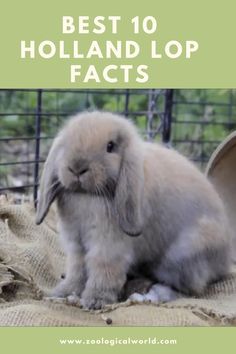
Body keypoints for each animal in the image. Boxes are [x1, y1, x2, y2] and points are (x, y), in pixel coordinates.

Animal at [36, 112, 232, 308]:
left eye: (110, 146)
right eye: (66, 143)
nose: (77, 167)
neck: (87, 196)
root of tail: (224, 261)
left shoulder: (109, 248)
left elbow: (103, 271)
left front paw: (95, 301)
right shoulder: (76, 245)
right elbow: (77, 271)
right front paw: (62, 292)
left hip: (182, 257)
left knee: (188, 289)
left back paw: (148, 293)